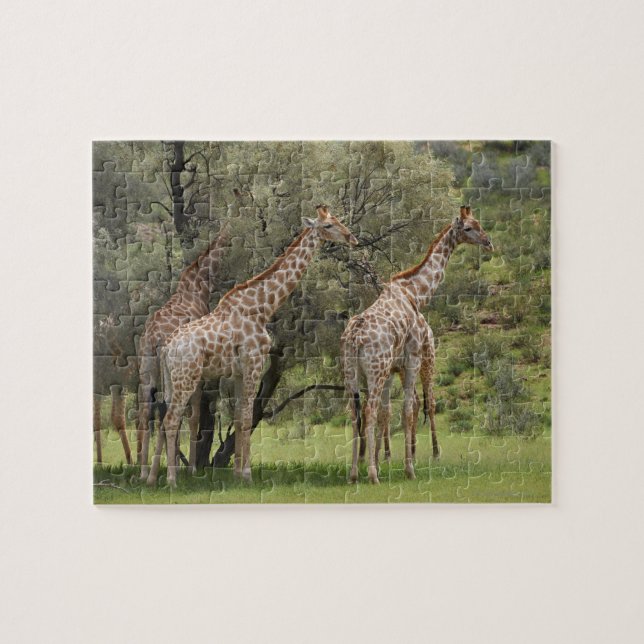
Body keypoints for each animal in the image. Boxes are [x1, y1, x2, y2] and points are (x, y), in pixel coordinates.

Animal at [137, 227, 229, 480]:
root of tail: (153, 337)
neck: (199, 284)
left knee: (146, 411)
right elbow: (194, 415)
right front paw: (191, 468)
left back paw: (144, 472)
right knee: (166, 411)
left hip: (147, 367)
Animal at [147, 206, 358, 487]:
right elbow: (247, 419)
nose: (352, 238)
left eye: (338, 220)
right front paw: (246, 475)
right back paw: (171, 479)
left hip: (171, 381)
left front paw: (237, 473)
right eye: (328, 226)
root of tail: (167, 349)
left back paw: (151, 477)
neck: (262, 308)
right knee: (171, 420)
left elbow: (238, 417)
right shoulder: (255, 362)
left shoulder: (238, 370)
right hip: (187, 378)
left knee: (163, 418)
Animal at [342, 206, 492, 484]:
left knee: (355, 413)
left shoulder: (395, 366)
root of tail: (355, 338)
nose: (489, 243)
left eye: (479, 223)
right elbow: (408, 410)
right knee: (370, 412)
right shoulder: (412, 358)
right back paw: (373, 475)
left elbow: (396, 411)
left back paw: (354, 473)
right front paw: (409, 469)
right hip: (377, 370)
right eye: (468, 228)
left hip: (351, 372)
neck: (415, 293)